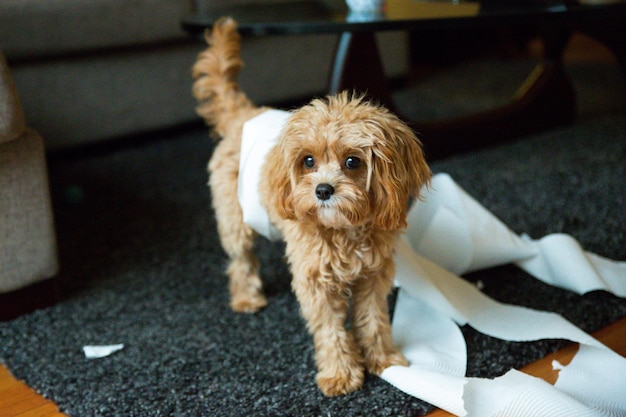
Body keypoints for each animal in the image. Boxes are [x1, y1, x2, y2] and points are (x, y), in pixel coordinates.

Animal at [193, 17, 432, 396]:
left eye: (352, 161)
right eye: (308, 161)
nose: (322, 190)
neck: (345, 232)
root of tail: (244, 114)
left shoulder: (373, 276)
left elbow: (374, 320)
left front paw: (383, 359)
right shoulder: (316, 282)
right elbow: (330, 331)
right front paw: (341, 374)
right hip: (234, 218)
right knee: (241, 260)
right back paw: (247, 299)